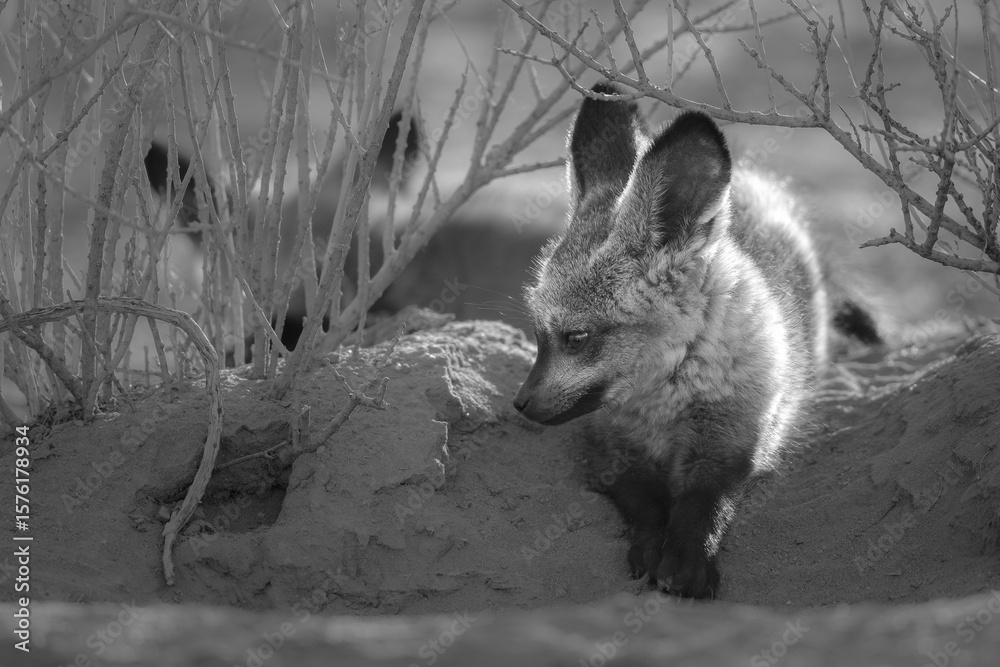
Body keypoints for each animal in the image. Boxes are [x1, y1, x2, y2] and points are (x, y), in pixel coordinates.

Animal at [513, 81, 880, 599]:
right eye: (538, 333)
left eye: (576, 336)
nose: (520, 404)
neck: (667, 404)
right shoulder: (611, 450)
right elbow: (646, 503)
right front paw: (651, 549)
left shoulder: (736, 443)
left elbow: (703, 504)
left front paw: (689, 560)